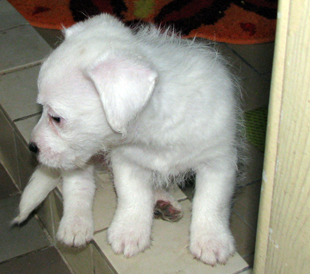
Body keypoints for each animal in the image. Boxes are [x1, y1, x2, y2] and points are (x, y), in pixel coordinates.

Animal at [13, 14, 242, 266]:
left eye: (56, 118)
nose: (32, 147)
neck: (153, 132)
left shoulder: (219, 161)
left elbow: (212, 201)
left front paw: (211, 240)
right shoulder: (126, 161)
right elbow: (132, 196)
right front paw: (129, 232)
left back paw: (163, 202)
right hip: (78, 154)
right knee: (79, 182)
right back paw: (76, 223)